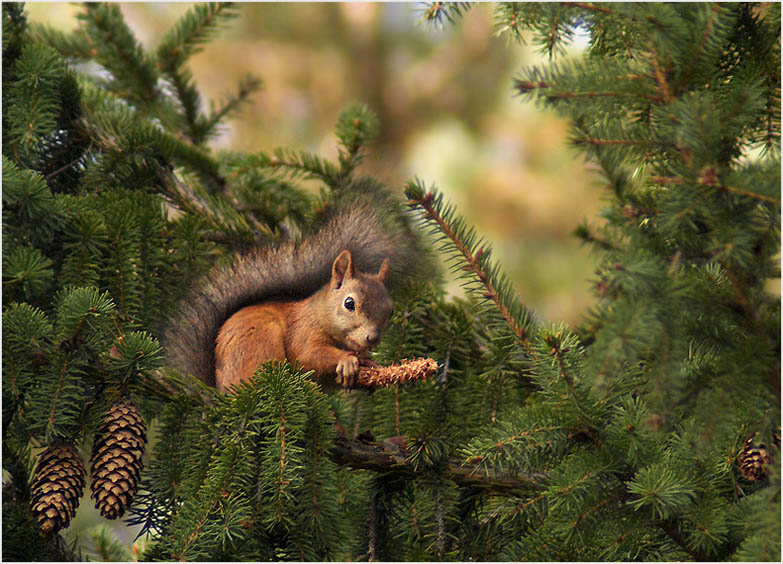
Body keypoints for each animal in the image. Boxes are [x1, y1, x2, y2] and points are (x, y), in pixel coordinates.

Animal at [164, 193, 428, 392]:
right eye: (349, 303)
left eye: (390, 311)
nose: (372, 338)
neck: (321, 317)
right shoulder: (303, 332)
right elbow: (309, 355)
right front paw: (347, 360)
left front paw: (368, 363)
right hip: (261, 343)